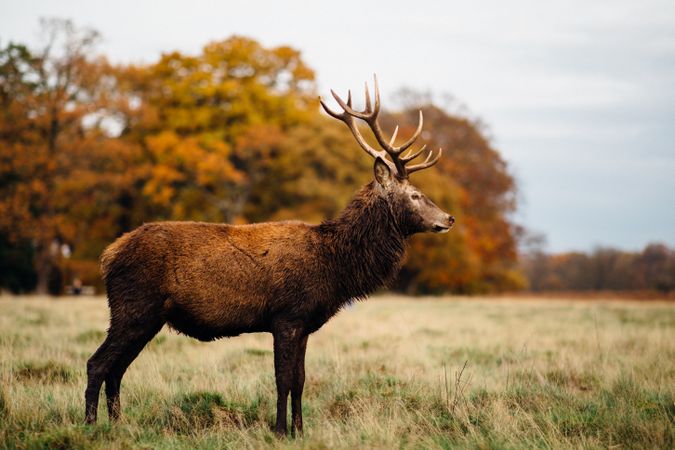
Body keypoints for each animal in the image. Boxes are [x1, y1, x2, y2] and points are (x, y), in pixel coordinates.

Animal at [83, 76, 454, 436]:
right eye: (414, 195)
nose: (448, 218)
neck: (334, 266)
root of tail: (108, 255)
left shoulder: (304, 324)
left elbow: (301, 381)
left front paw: (299, 431)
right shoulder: (286, 316)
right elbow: (283, 380)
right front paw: (278, 430)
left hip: (147, 317)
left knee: (117, 369)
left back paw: (118, 424)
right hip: (133, 307)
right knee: (97, 364)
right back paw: (90, 426)